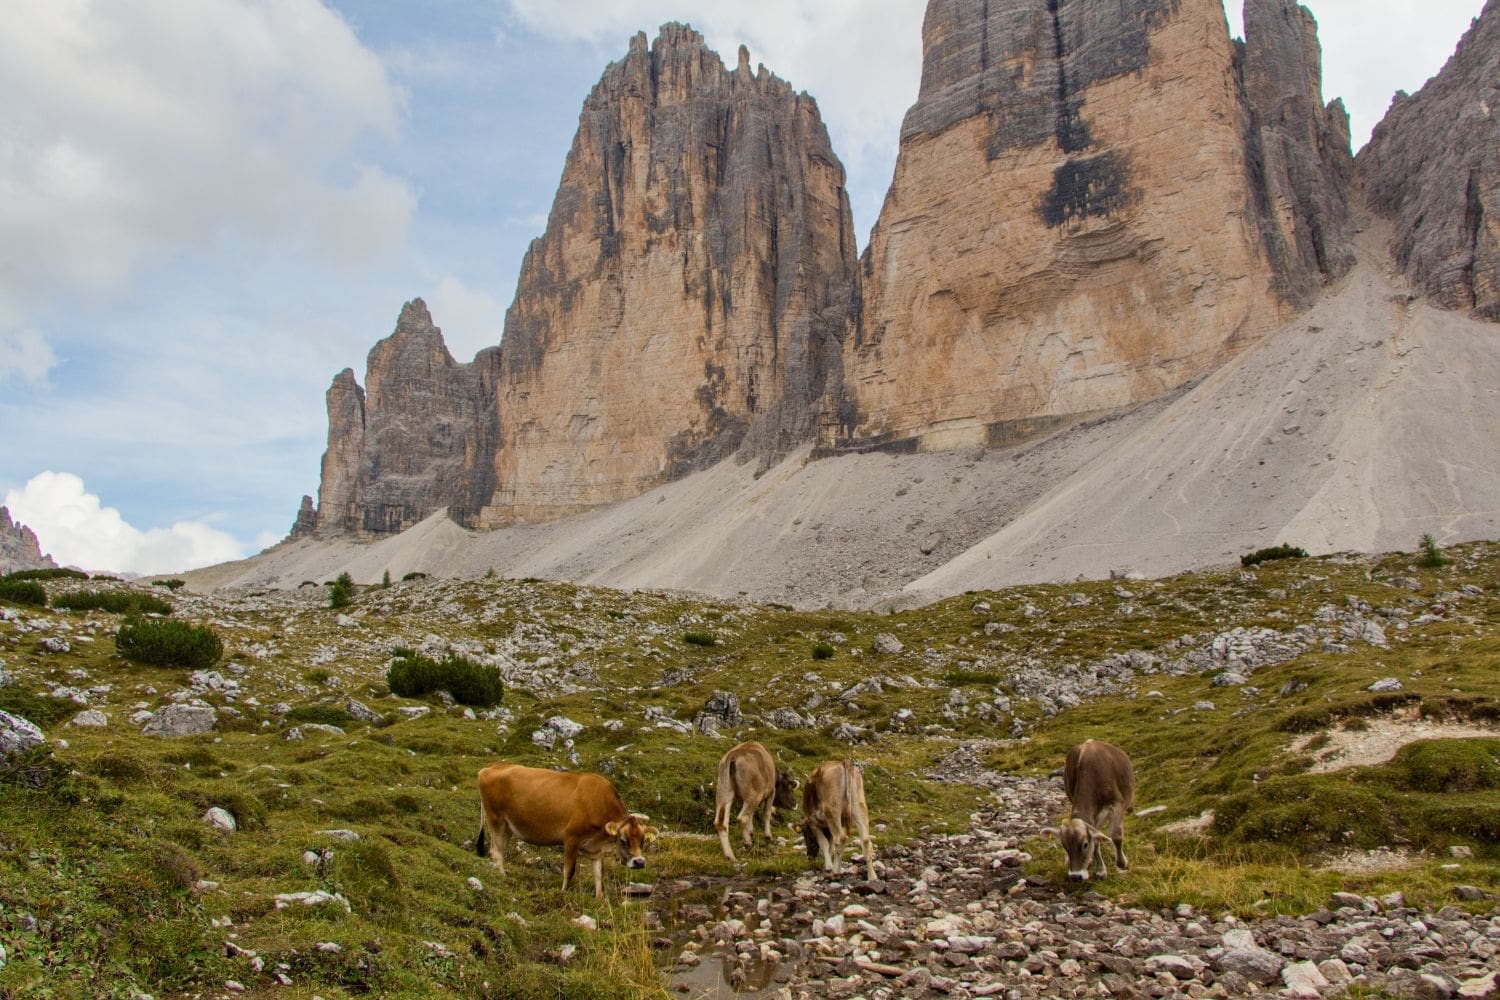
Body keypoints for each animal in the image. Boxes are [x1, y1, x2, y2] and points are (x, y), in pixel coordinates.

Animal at [471, 761, 654, 893]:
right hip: (496, 819)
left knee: (500, 850)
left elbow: (598, 874)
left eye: (643, 841)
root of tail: (491, 767)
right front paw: (564, 892)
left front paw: (599, 898)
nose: (639, 862)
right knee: (495, 852)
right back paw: (502, 878)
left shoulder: (596, 849)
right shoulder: (571, 838)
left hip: (508, 826)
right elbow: (569, 870)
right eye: (623, 840)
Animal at [1044, 740, 1134, 881]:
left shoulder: (1117, 803)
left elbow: (1116, 836)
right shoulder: (1094, 816)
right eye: (1064, 845)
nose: (1075, 876)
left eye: (1085, 845)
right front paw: (1101, 870)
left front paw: (1122, 863)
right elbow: (1097, 839)